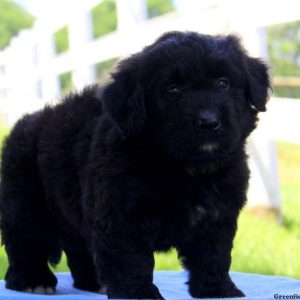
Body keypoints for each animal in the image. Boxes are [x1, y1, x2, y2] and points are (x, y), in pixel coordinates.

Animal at [0, 31, 270, 298]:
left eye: (223, 83)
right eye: (173, 90)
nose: (209, 121)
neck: (185, 169)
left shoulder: (218, 216)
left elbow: (213, 256)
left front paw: (218, 290)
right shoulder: (121, 217)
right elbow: (131, 262)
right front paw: (139, 293)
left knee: (79, 248)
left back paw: (93, 282)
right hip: (24, 205)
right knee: (25, 242)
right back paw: (33, 280)